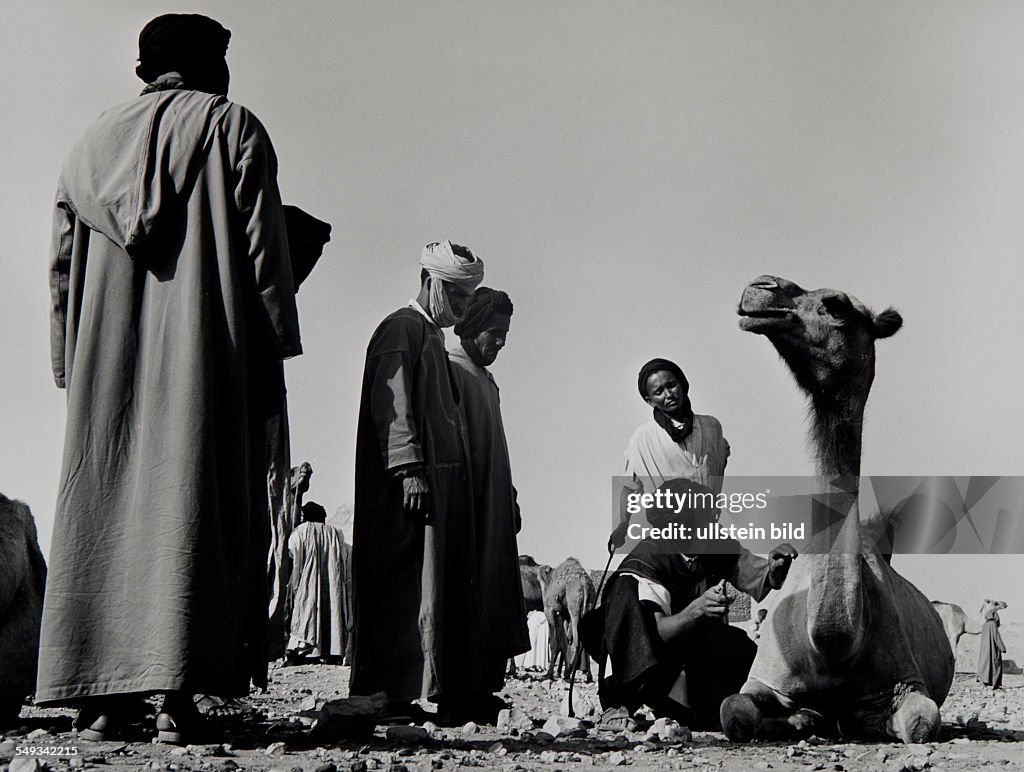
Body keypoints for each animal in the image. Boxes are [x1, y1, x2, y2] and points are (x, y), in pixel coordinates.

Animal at [724, 274, 954, 741]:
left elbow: (922, 720)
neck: (832, 646)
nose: (760, 287)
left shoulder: (903, 683)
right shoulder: (767, 677)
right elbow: (734, 710)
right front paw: (802, 717)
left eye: (836, 305)